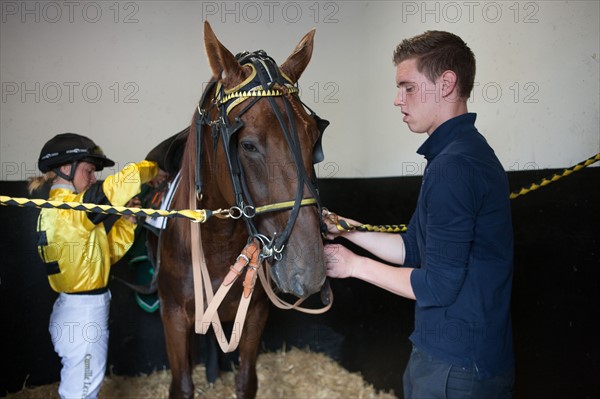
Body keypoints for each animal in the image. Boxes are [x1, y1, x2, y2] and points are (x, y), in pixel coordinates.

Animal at [156, 22, 328, 399]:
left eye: (313, 140)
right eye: (248, 145)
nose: (308, 270)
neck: (217, 243)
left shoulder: (256, 315)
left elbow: (247, 379)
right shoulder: (172, 316)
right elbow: (182, 384)